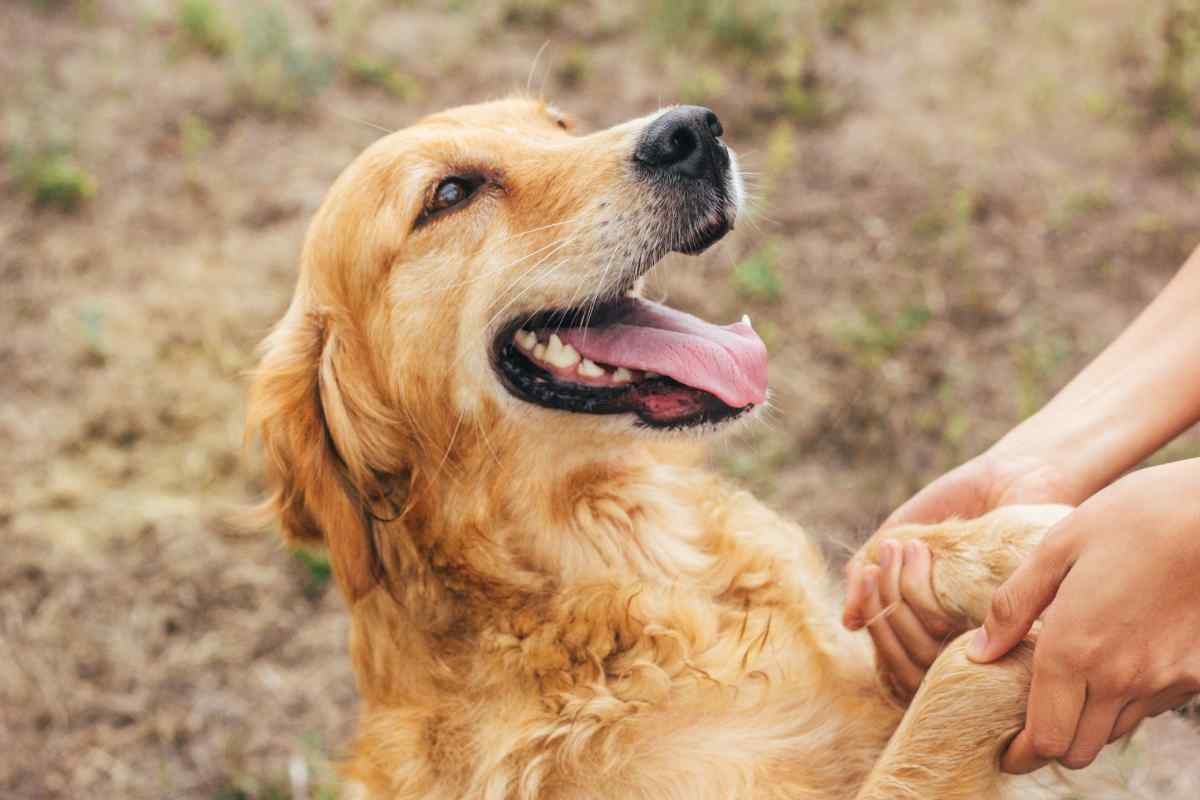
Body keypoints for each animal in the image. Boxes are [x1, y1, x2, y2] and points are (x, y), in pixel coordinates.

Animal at [248, 97, 1128, 796]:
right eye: (451, 193)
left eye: (558, 124)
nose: (692, 131)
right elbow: (954, 691)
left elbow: (887, 553)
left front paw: (1019, 545)